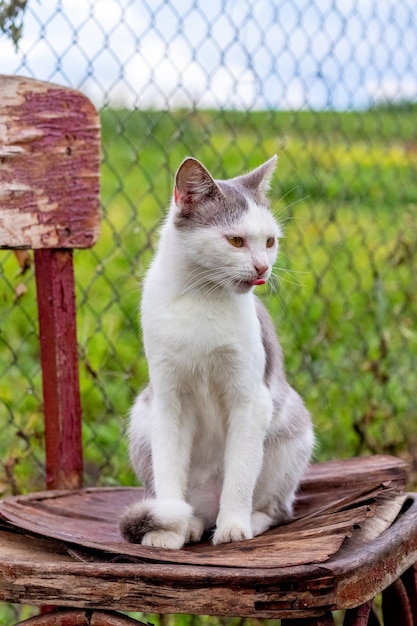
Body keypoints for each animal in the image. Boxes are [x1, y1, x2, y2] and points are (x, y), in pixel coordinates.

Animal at [119, 155, 312, 544]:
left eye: (270, 241)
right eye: (236, 240)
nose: (263, 267)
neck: (201, 298)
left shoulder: (251, 400)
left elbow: (240, 474)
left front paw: (233, 528)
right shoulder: (168, 399)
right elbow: (168, 473)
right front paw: (167, 531)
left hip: (293, 433)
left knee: (279, 508)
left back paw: (249, 520)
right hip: (141, 420)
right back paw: (190, 524)